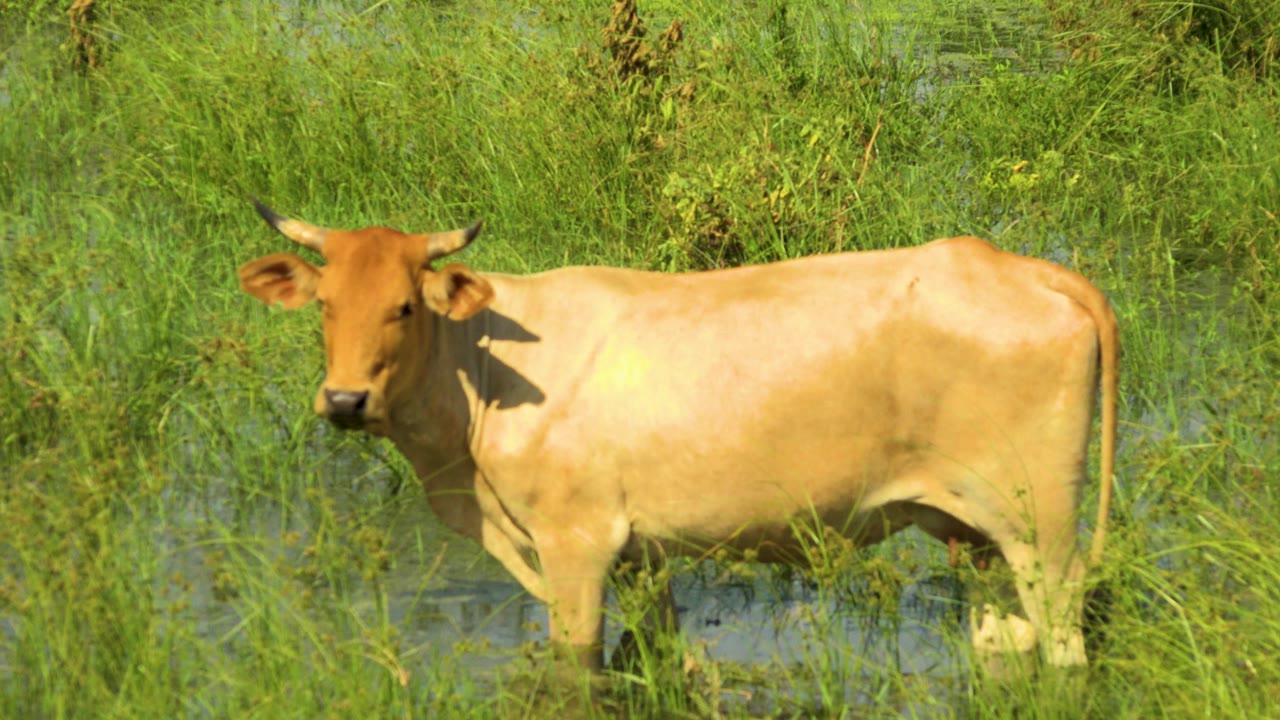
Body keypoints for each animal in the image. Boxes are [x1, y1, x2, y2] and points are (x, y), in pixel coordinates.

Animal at [238, 200, 1117, 673]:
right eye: (326, 306)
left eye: (404, 307)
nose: (344, 398)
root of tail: (1015, 265)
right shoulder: (641, 555)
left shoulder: (575, 544)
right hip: (980, 537)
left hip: (1040, 526)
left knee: (1064, 643)